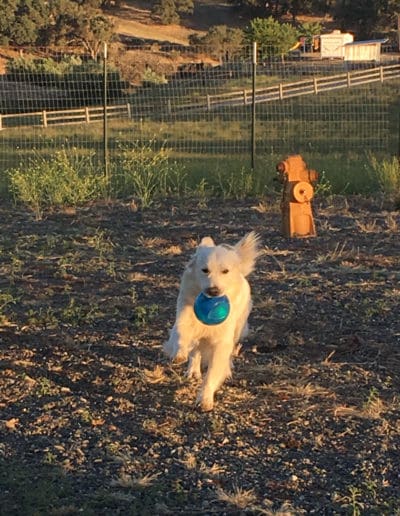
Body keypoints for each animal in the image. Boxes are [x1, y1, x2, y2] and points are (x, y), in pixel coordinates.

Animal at [164, 231, 260, 412]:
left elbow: (213, 373)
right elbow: (181, 335)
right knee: (196, 352)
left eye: (225, 271)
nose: (213, 291)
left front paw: (205, 399)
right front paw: (179, 354)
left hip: (237, 329)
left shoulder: (222, 342)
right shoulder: (184, 319)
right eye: (205, 270)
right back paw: (193, 371)